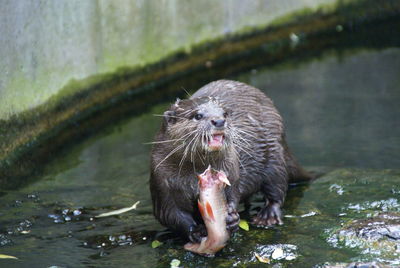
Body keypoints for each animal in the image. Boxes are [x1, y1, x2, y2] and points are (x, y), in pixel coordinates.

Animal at [149, 79, 310, 243]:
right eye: (198, 115)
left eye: (225, 113)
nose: (219, 121)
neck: (192, 177)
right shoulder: (161, 182)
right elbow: (170, 214)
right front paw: (196, 231)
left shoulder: (232, 169)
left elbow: (234, 193)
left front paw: (232, 218)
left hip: (274, 156)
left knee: (277, 187)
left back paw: (267, 216)